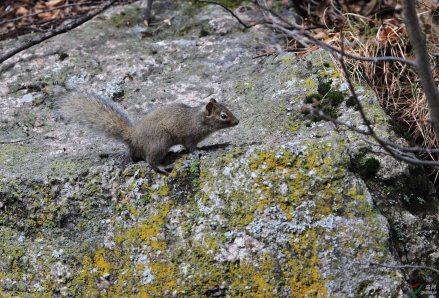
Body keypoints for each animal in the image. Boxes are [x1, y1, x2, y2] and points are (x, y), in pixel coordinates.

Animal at [59, 91, 241, 175]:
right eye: (223, 116)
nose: (237, 122)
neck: (198, 119)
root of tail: (132, 137)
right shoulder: (189, 136)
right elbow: (191, 147)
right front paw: (199, 152)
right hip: (159, 143)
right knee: (150, 161)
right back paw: (162, 166)